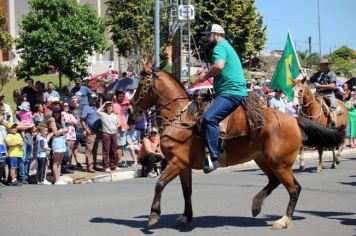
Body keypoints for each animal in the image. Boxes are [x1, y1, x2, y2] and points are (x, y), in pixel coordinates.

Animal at [132, 63, 344, 230]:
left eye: (141, 85)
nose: (132, 112)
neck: (180, 118)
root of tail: (294, 118)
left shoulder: (176, 162)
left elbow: (159, 184)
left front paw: (153, 216)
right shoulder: (183, 166)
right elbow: (187, 191)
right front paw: (185, 217)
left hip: (280, 163)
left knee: (294, 189)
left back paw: (283, 220)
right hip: (264, 160)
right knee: (274, 181)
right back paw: (256, 205)